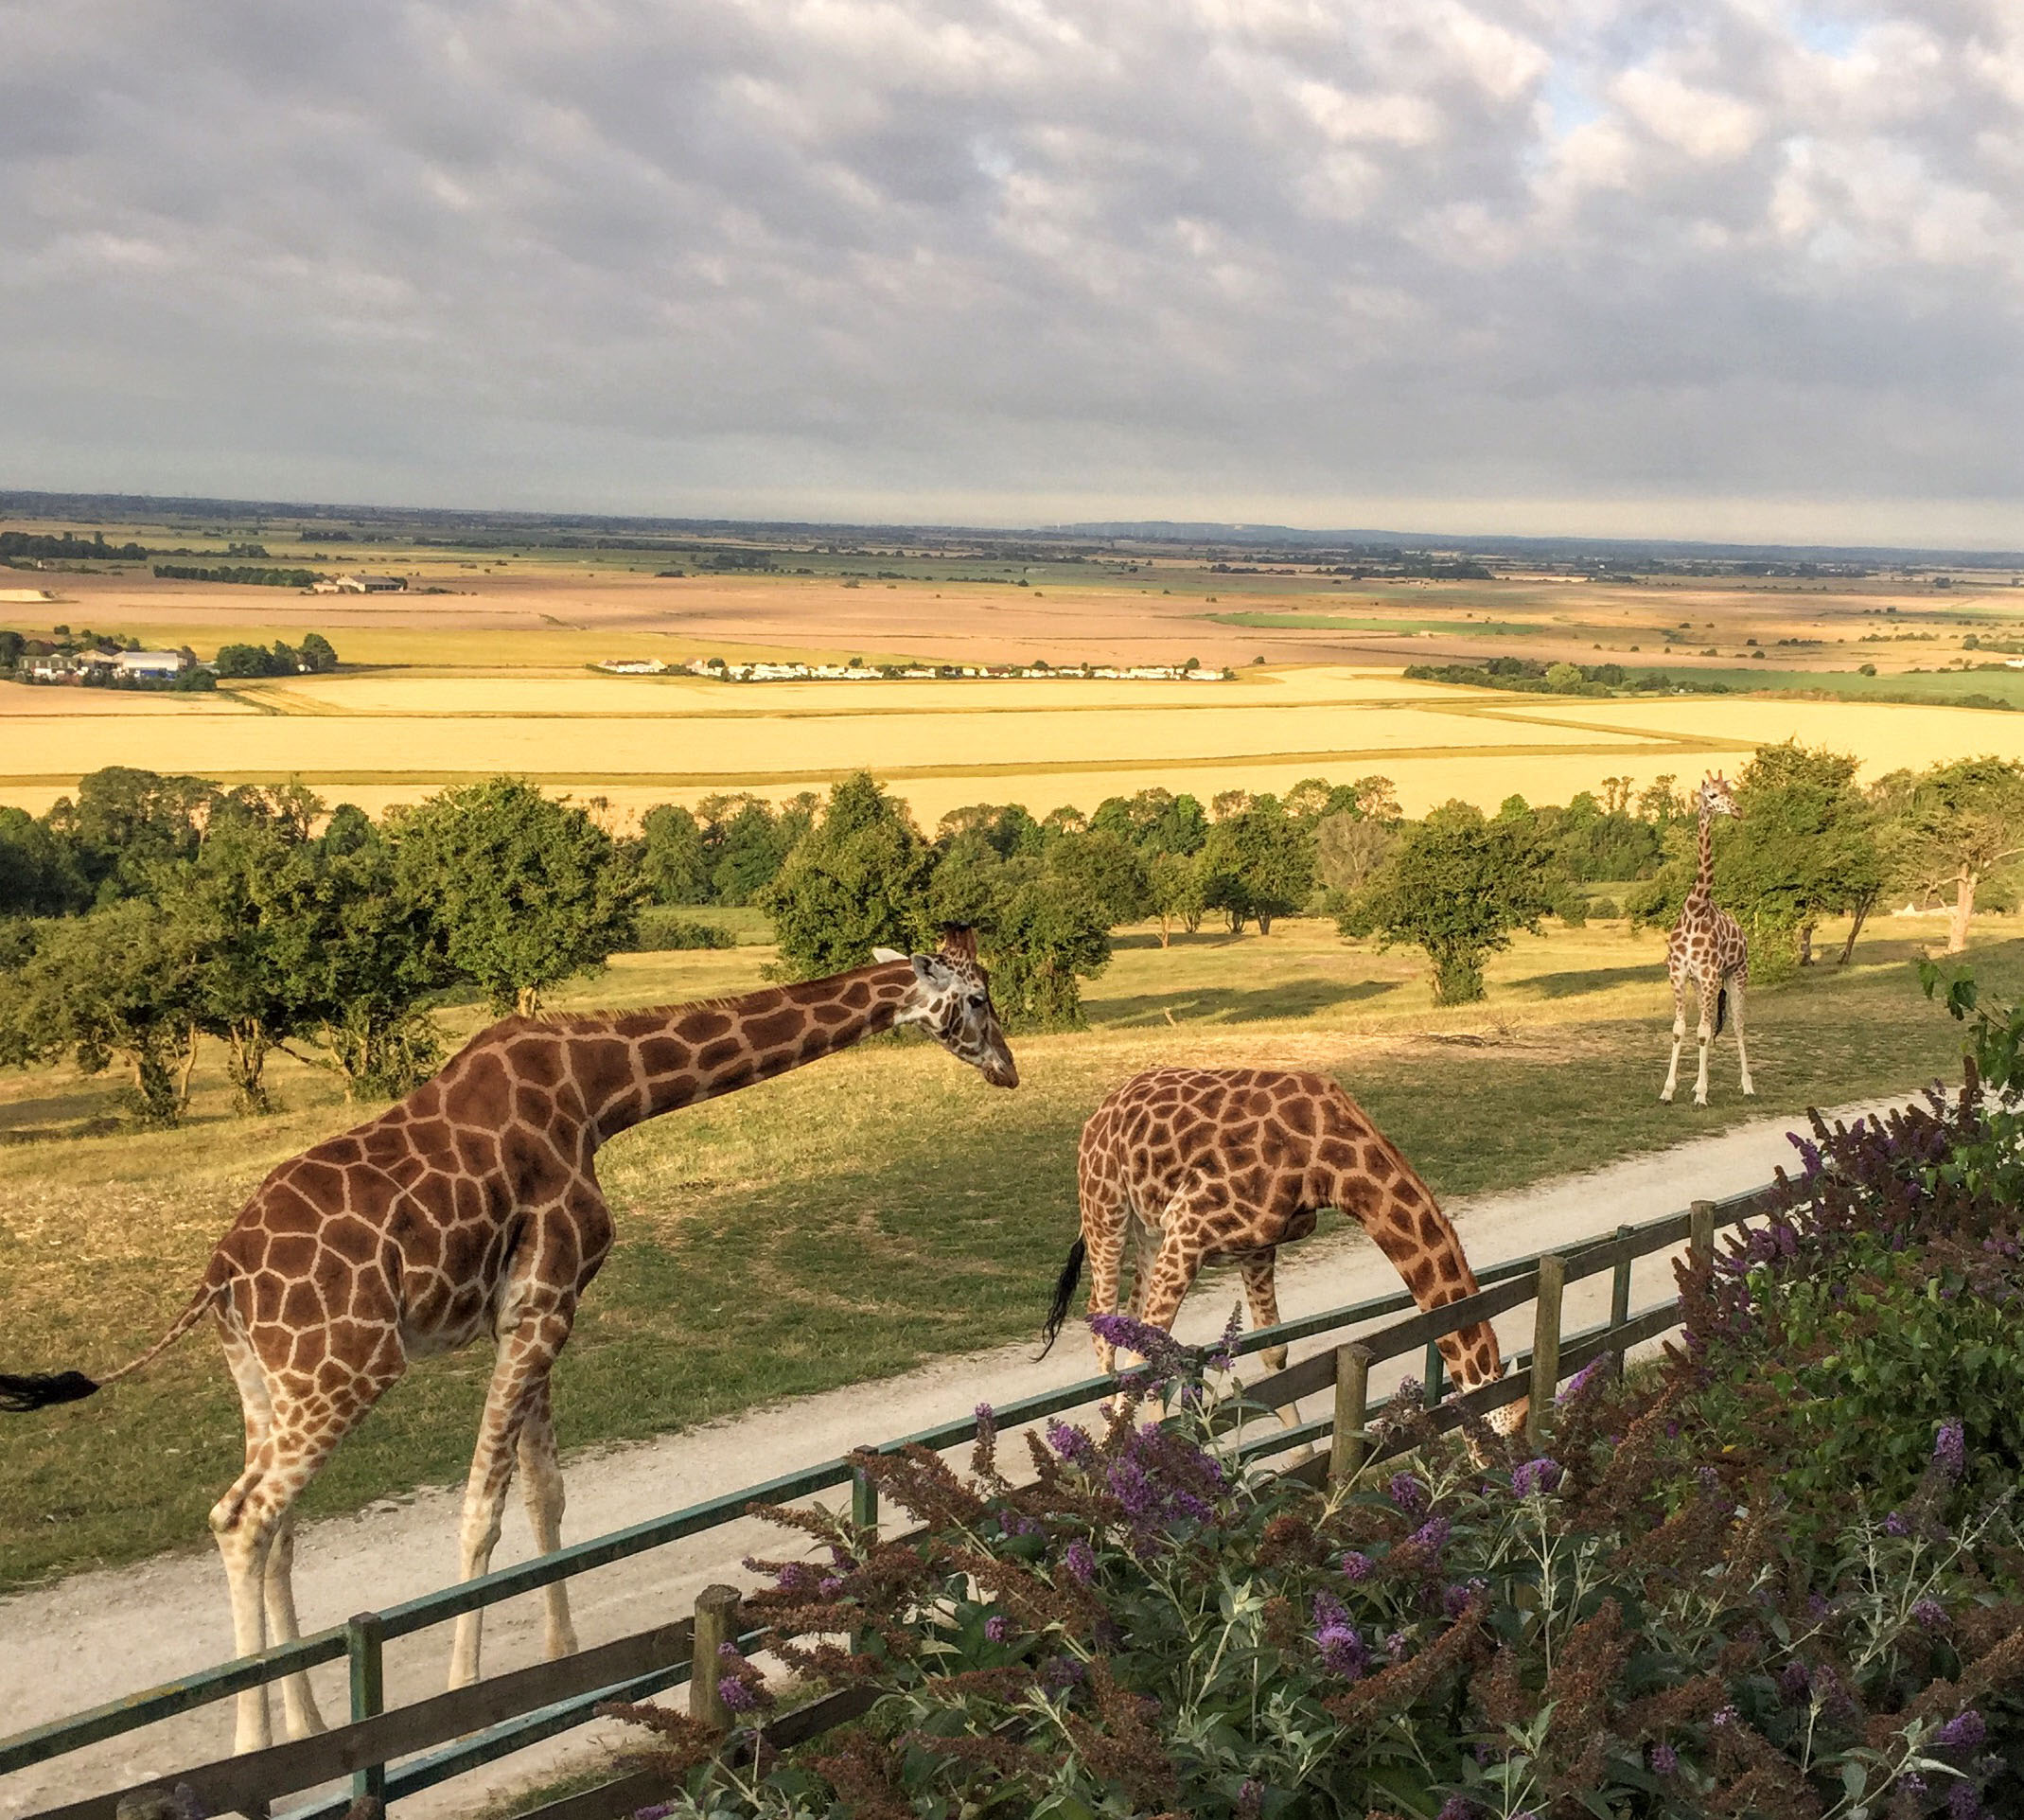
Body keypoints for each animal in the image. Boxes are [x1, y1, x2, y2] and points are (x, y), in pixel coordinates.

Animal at [0, 930, 1015, 1754]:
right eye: (974, 998)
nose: (1007, 1069)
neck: (602, 1092)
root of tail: (219, 1276)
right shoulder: (543, 1301)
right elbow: (481, 1510)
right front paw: (464, 1701)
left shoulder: (538, 1308)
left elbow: (544, 1493)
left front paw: (563, 1663)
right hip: (343, 1369)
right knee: (241, 1517)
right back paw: (258, 1748)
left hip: (263, 1380)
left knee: (276, 1528)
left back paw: (309, 1725)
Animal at [1040, 1066, 1517, 1435]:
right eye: (1502, 1437)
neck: (1330, 1163)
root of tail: (1103, 1108)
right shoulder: (1190, 1225)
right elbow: (1145, 1360)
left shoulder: (1256, 1244)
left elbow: (1273, 1352)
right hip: (1105, 1207)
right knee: (1102, 1324)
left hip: (1149, 1227)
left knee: (1127, 1320)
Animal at [1661, 773, 1754, 1107]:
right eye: (1712, 795)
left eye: (1730, 791)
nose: (1738, 810)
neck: (1696, 908)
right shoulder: (1679, 974)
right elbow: (1680, 1029)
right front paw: (1669, 1091)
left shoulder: (1711, 975)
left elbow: (1702, 1032)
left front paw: (1701, 1094)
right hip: (1704, 985)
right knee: (1711, 1022)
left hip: (1737, 974)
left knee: (1737, 1024)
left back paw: (1747, 1086)